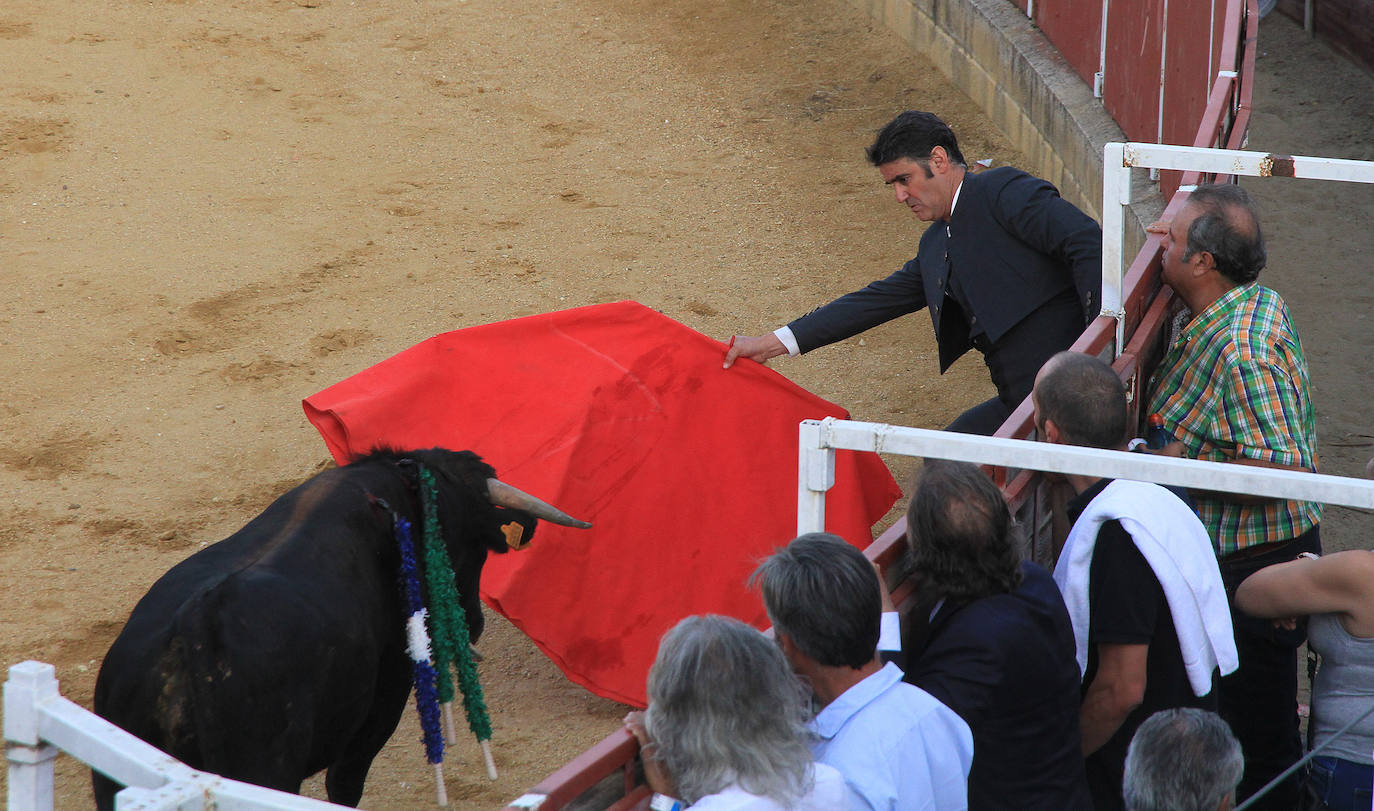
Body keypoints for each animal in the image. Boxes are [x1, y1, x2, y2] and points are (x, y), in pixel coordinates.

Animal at [94, 448, 588, 808]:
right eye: (476, 545)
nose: (475, 623)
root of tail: (192, 636)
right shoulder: (385, 695)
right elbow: (345, 781)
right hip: (267, 767)